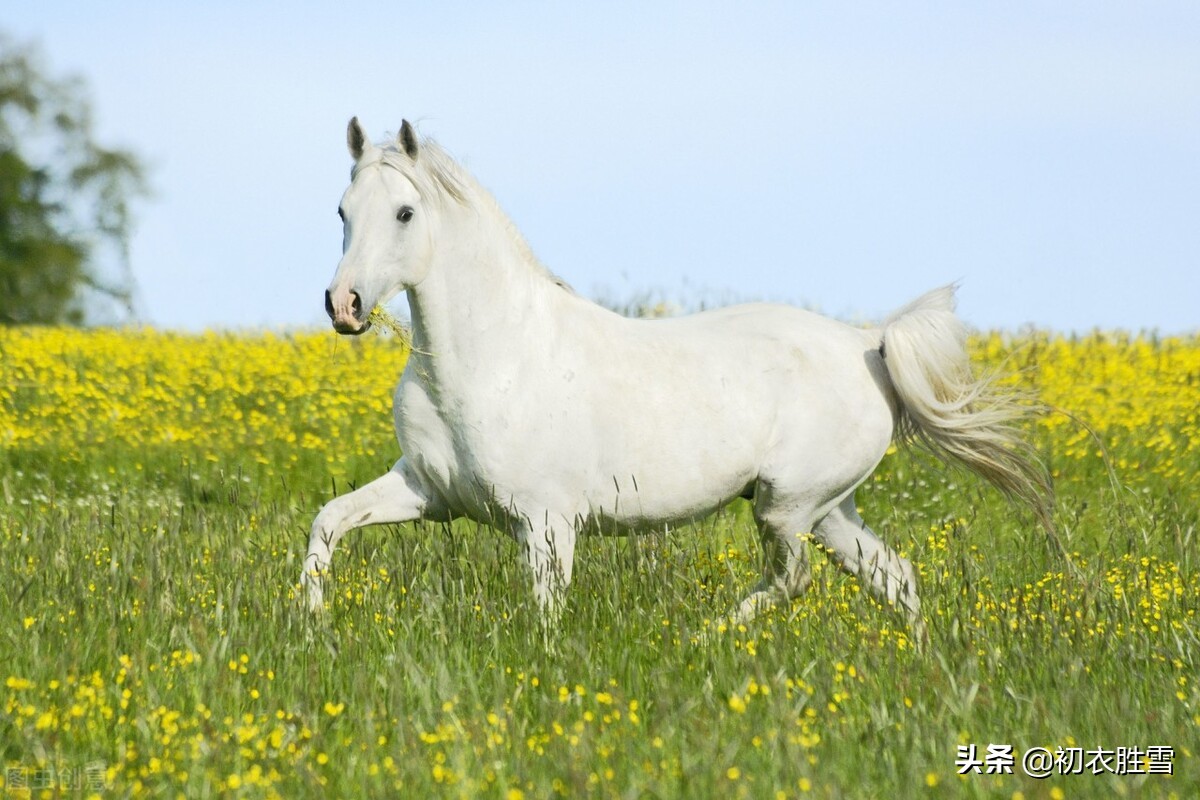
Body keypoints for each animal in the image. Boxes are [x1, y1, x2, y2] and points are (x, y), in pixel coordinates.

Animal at [304, 115, 1056, 633]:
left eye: (405, 213)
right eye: (341, 211)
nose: (345, 306)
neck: (492, 360)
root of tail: (866, 345)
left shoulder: (547, 524)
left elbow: (544, 616)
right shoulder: (427, 492)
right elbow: (328, 523)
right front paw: (311, 626)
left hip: (787, 508)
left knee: (796, 581)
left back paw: (709, 634)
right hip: (829, 508)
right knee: (894, 576)